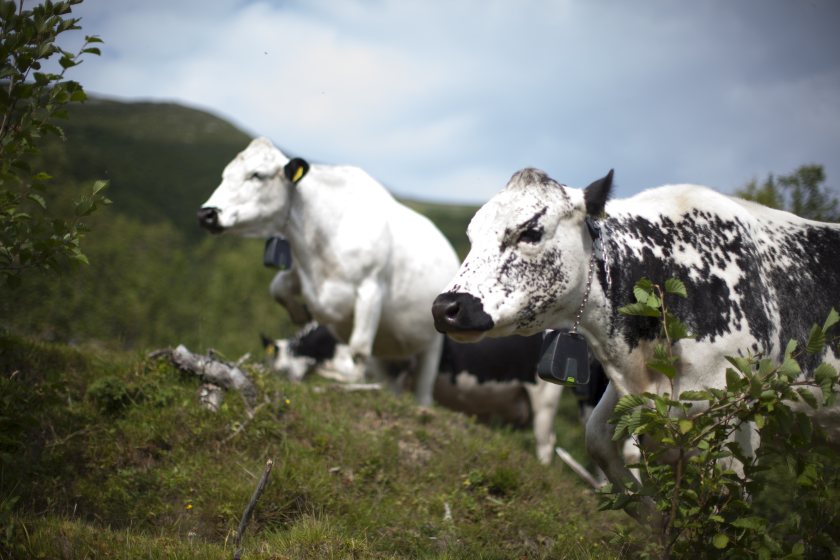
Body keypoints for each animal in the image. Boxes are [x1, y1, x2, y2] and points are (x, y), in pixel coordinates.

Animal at [434, 166, 840, 520]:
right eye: (472, 235)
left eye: (531, 232)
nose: (447, 307)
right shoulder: (629, 394)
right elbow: (600, 443)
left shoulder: (736, 421)